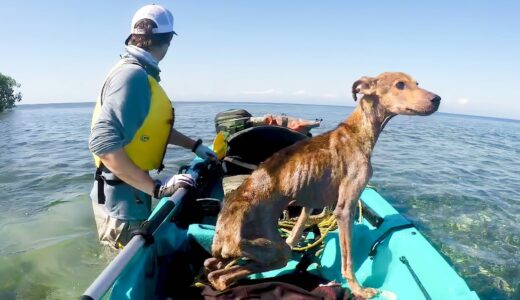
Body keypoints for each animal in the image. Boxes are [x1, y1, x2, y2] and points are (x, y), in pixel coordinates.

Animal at [205, 72, 440, 298]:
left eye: (417, 83)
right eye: (400, 84)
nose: (437, 99)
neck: (357, 131)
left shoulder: (309, 201)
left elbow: (298, 228)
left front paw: (299, 240)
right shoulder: (344, 209)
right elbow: (347, 260)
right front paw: (359, 290)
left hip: (254, 251)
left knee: (213, 268)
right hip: (275, 251)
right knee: (222, 276)